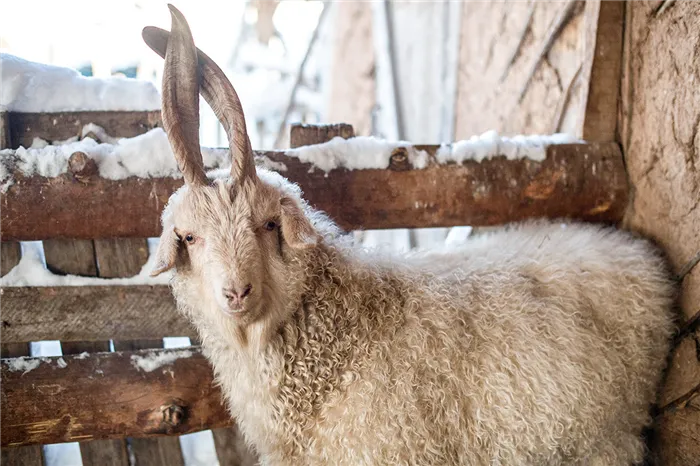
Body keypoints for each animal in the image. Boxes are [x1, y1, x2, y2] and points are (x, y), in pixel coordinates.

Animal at [141, 5, 680, 464]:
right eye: (189, 238)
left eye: (269, 223)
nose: (237, 292)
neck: (346, 334)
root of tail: (631, 249)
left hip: (606, 439)